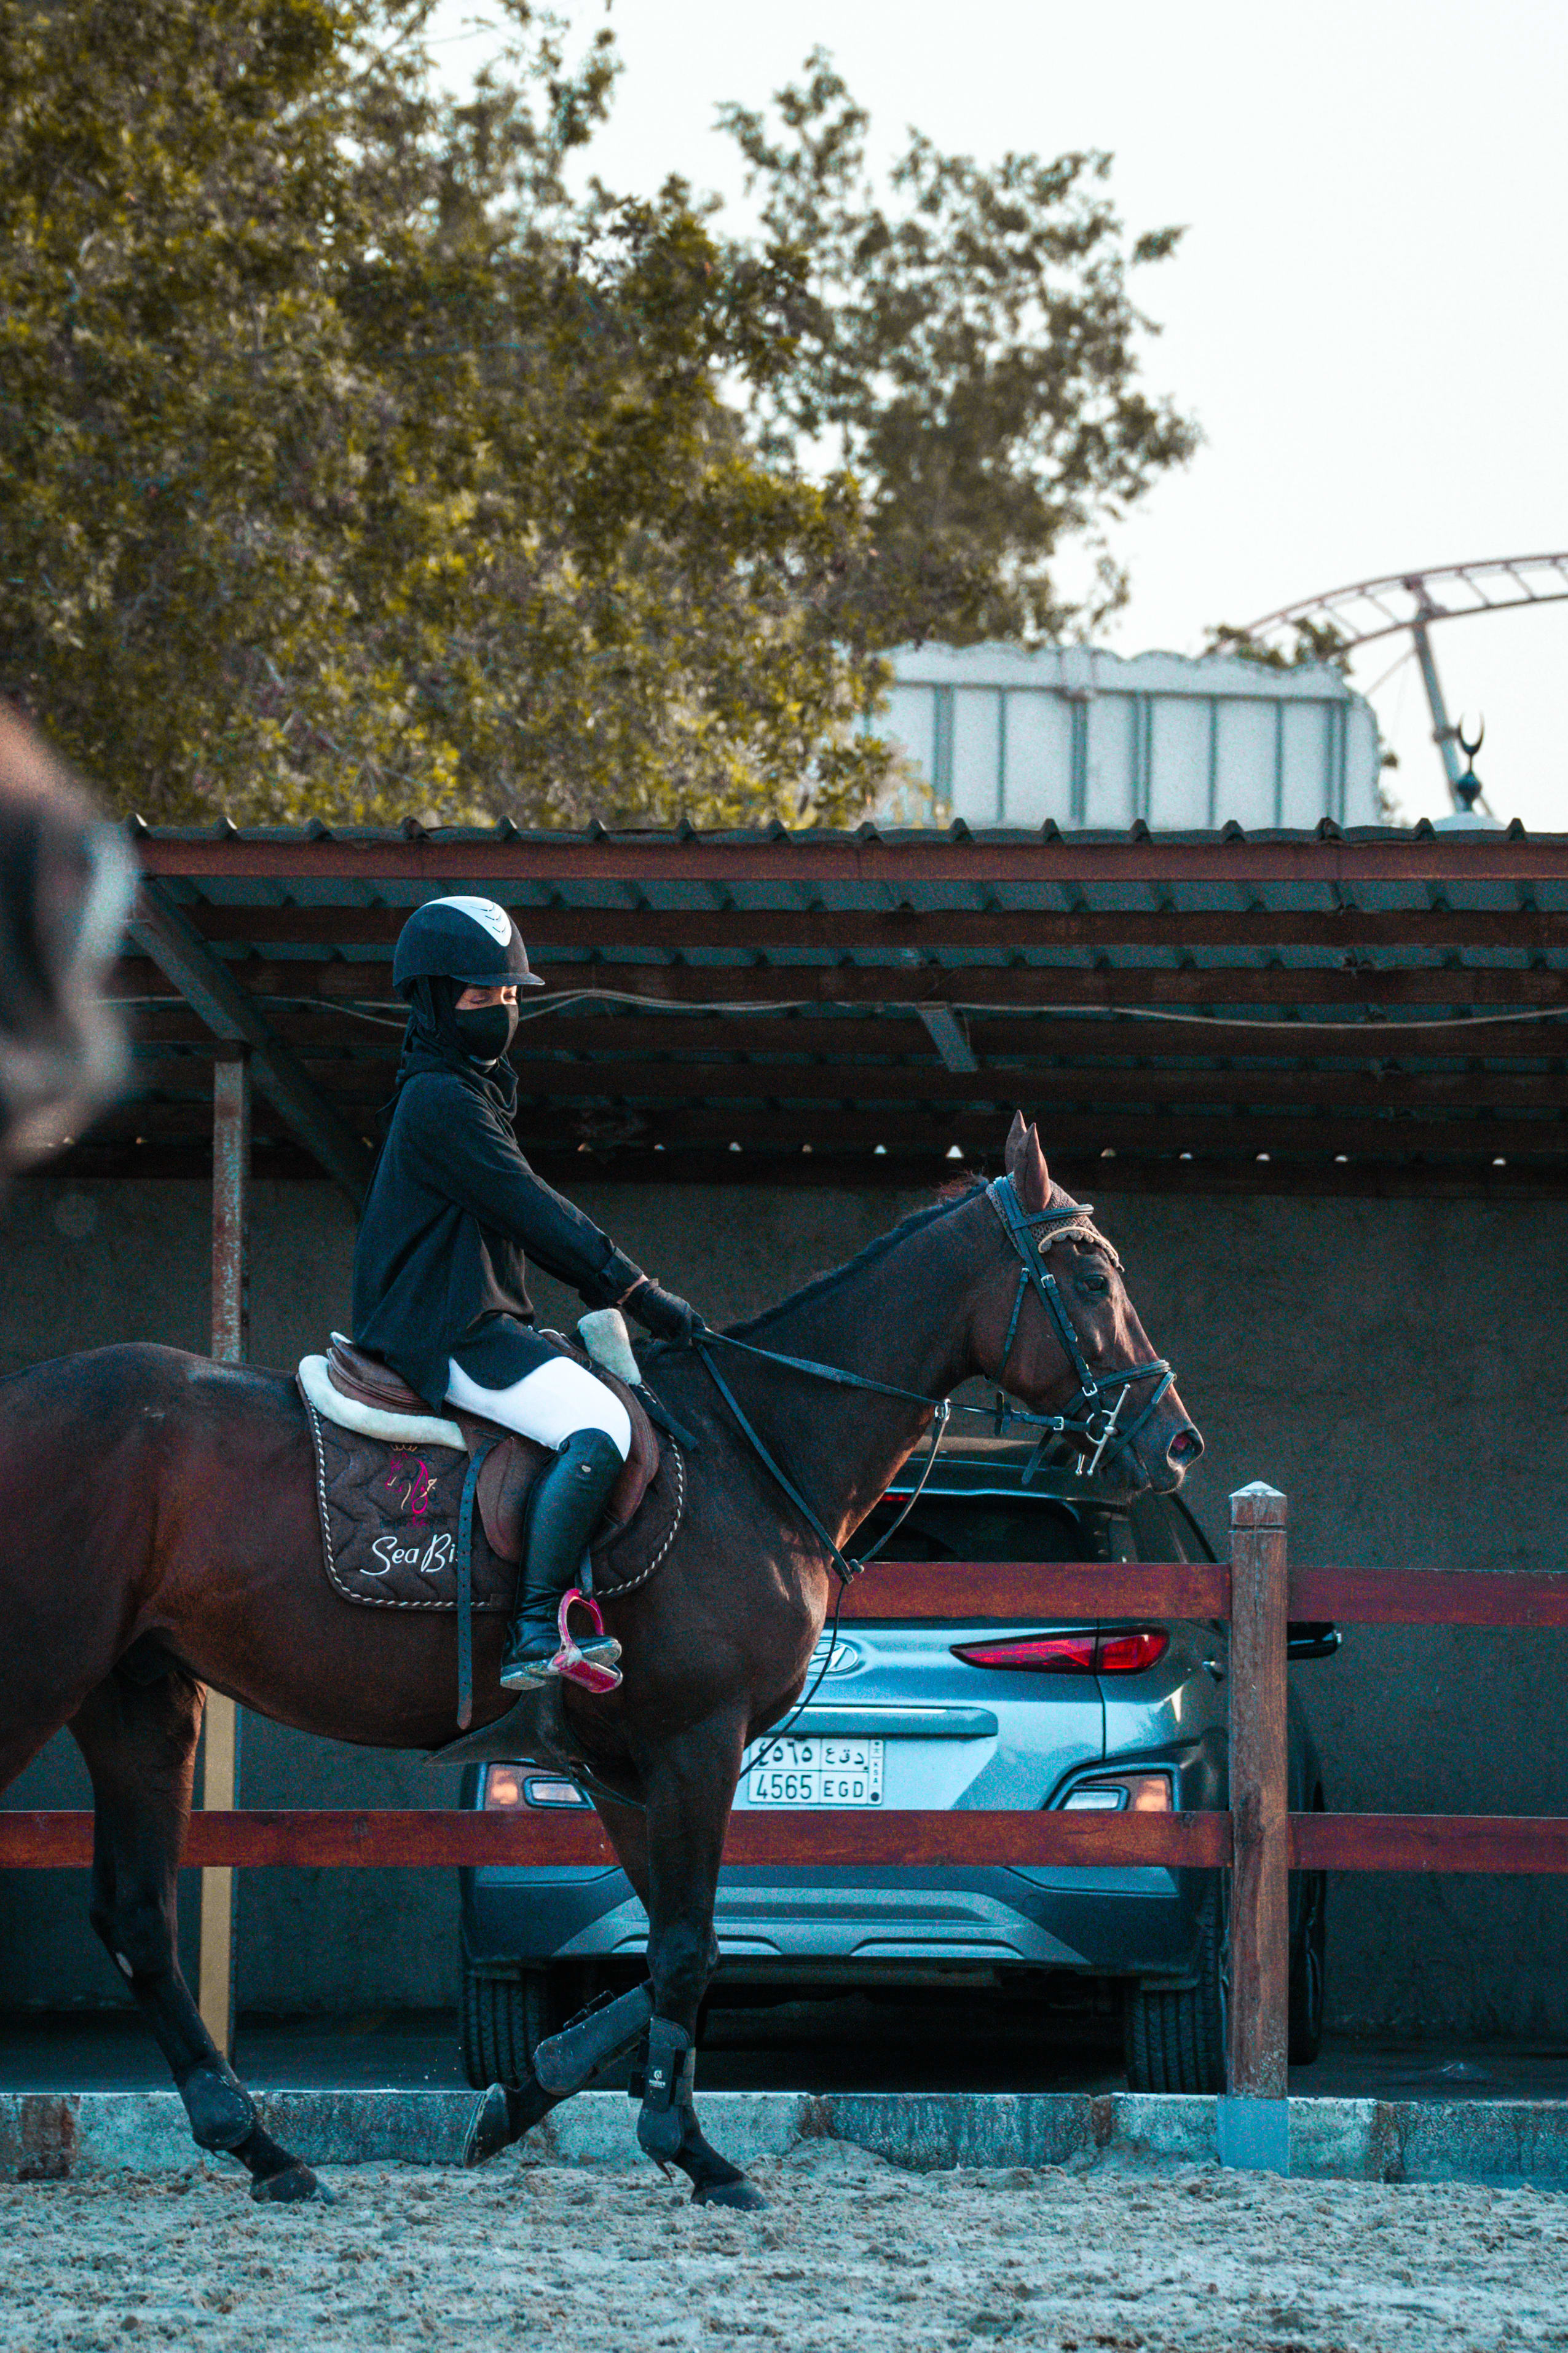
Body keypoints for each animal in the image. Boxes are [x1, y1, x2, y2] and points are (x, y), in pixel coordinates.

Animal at [0, 1115, 1201, 2208]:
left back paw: (263, 2148)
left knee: (136, 1916)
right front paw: (694, 2151)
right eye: (1087, 1273)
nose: (1175, 1438)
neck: (754, 1449)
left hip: (138, 1695)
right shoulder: (695, 1740)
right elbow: (687, 1949)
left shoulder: (631, 1761)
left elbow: (676, 1942)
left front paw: (530, 2091)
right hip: (45, 1673)